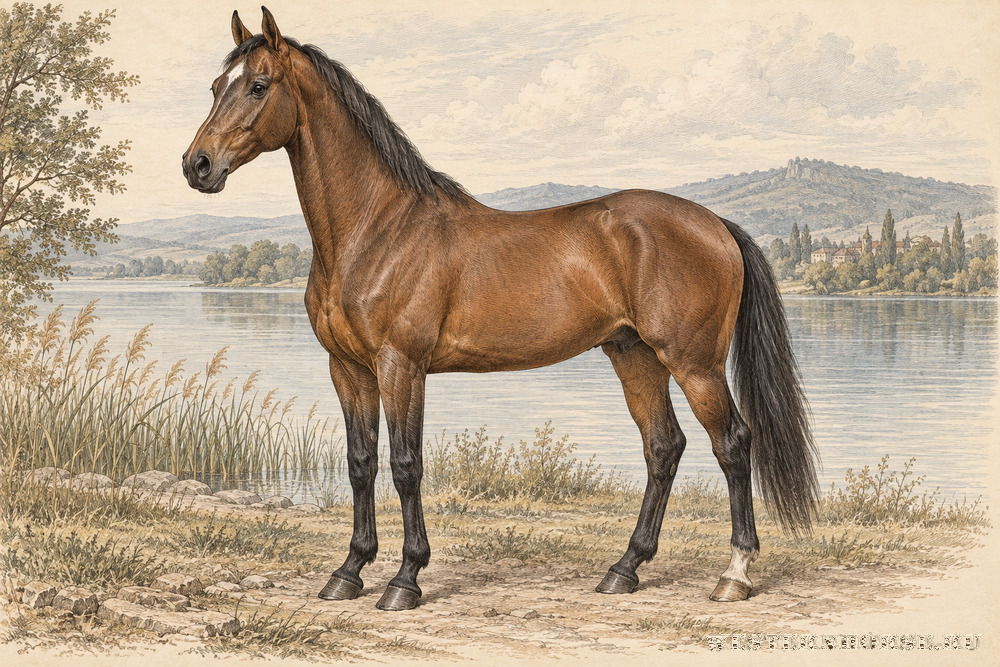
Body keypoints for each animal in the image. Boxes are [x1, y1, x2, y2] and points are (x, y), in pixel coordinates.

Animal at [183, 7, 819, 611]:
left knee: (732, 444)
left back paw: (734, 575)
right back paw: (624, 569)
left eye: (258, 85)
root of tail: (716, 223)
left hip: (694, 364)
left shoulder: (401, 366)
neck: (375, 229)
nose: (198, 165)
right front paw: (348, 572)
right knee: (663, 448)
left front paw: (405, 580)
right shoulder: (349, 369)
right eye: (215, 86)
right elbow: (360, 462)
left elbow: (406, 464)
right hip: (634, 356)